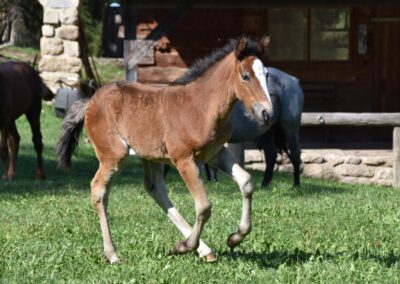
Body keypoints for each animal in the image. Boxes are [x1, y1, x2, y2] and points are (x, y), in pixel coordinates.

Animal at [56, 34, 274, 262]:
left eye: (267, 75)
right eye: (245, 76)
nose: (267, 113)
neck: (202, 106)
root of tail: (90, 101)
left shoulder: (215, 153)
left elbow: (246, 182)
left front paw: (235, 238)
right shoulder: (184, 159)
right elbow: (204, 206)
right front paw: (185, 246)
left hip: (150, 156)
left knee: (155, 189)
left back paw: (204, 249)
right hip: (114, 155)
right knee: (99, 190)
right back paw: (112, 254)